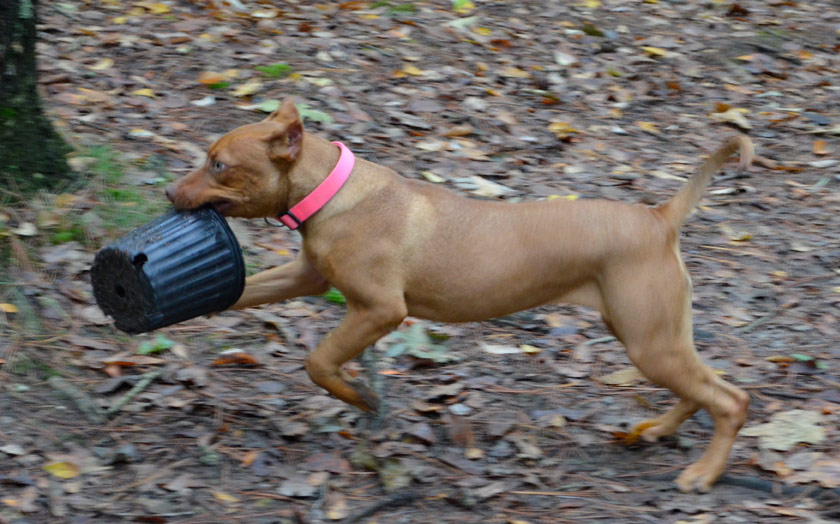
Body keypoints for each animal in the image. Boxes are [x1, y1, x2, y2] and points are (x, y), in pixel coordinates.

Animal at [166, 99, 756, 496]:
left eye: (218, 165)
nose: (169, 193)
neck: (330, 192)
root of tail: (659, 218)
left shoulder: (380, 310)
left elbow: (319, 362)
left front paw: (363, 399)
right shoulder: (306, 277)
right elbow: (244, 292)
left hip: (649, 341)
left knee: (731, 400)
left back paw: (703, 473)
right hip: (652, 335)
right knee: (702, 390)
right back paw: (656, 431)